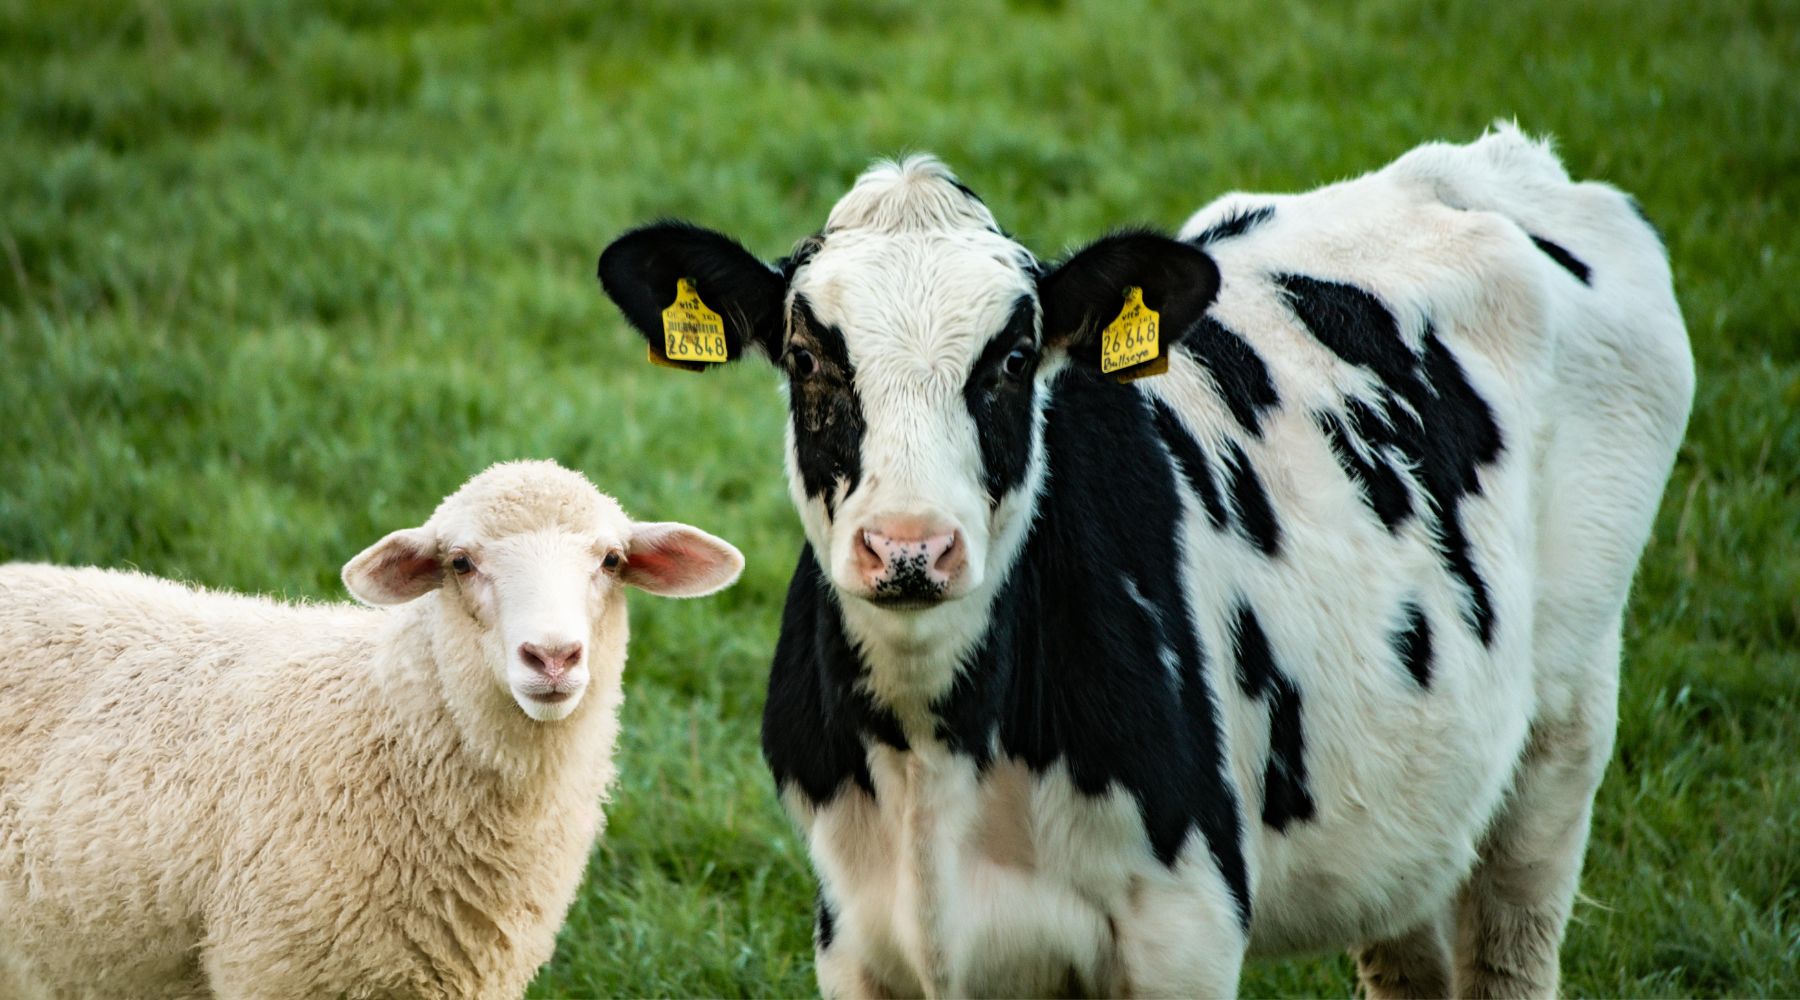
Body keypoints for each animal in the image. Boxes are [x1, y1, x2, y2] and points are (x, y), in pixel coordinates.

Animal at [596, 124, 1693, 998]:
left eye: (1012, 359)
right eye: (808, 357)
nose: (910, 547)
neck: (933, 751)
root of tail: (1493, 163)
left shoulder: (1186, 929)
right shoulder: (857, 937)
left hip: (1560, 730)